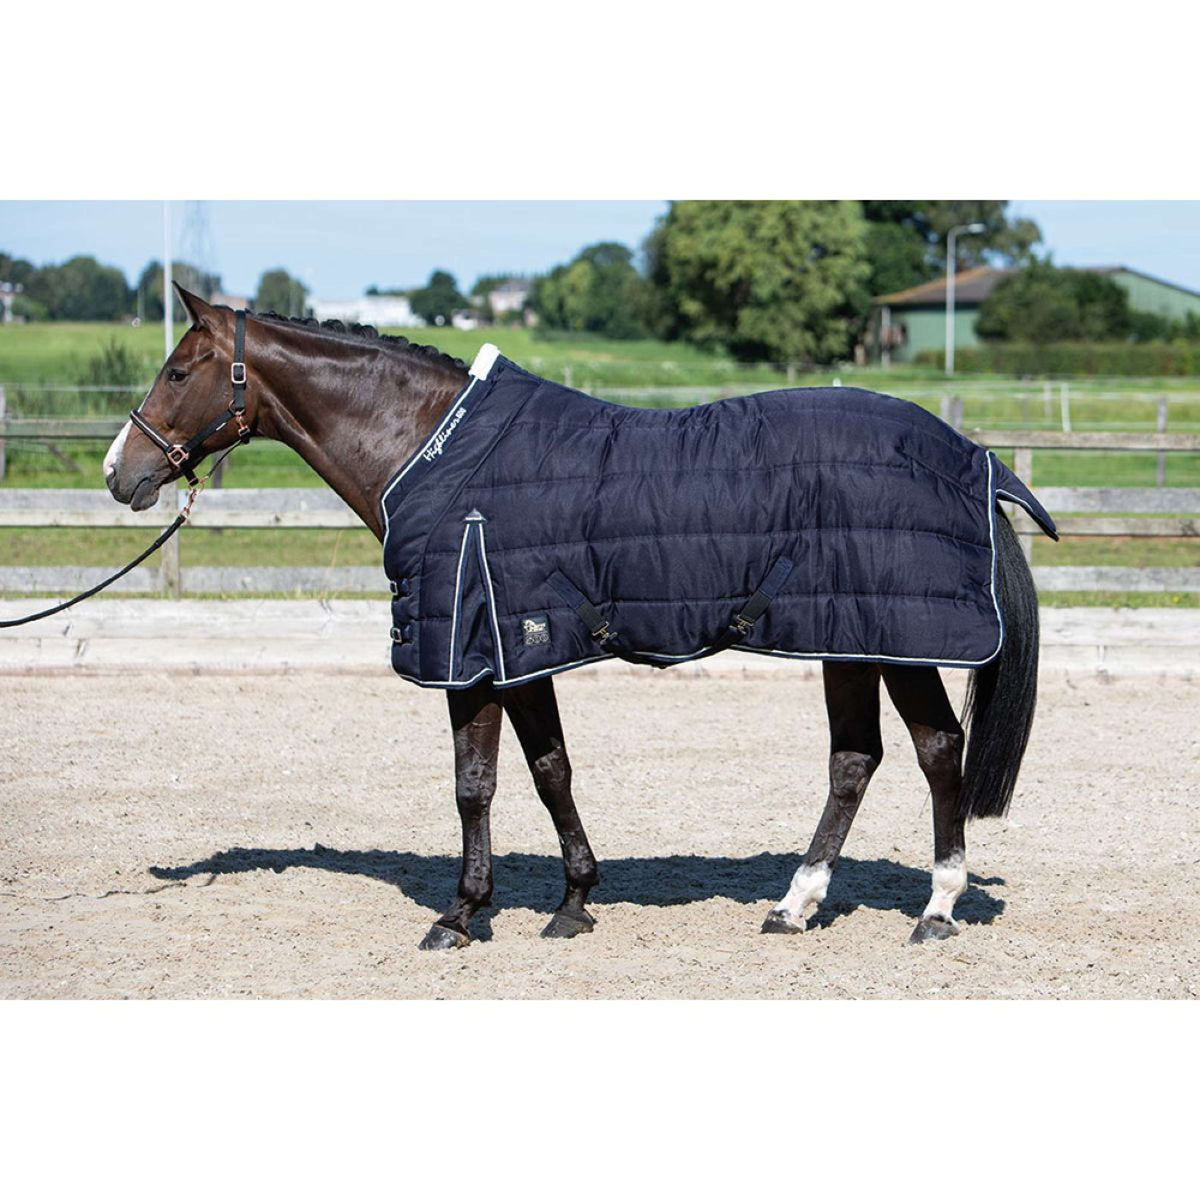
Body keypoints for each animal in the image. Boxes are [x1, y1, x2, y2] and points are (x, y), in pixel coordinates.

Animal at [104, 286, 1051, 950]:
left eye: (179, 370)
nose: (120, 472)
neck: (431, 450)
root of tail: (972, 456)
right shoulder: (520, 650)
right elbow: (549, 769)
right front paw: (573, 902)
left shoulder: (471, 651)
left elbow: (475, 784)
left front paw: (461, 915)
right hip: (847, 638)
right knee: (855, 761)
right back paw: (794, 905)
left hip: (897, 640)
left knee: (937, 752)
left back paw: (935, 909)